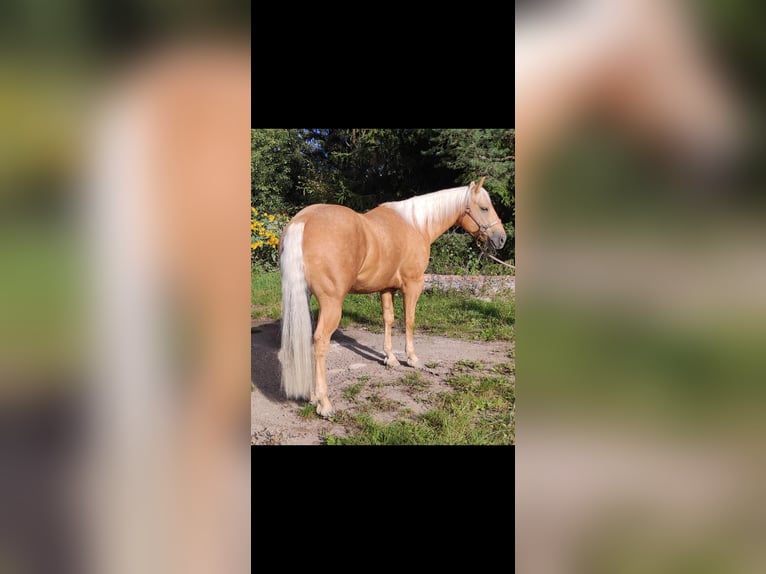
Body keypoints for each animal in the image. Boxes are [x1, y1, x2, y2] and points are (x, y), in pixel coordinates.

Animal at [278, 177, 507, 417]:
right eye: (484, 208)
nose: (501, 238)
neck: (416, 224)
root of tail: (303, 221)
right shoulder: (413, 285)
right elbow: (409, 320)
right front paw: (412, 359)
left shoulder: (387, 288)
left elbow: (388, 319)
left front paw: (391, 358)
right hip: (332, 303)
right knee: (320, 341)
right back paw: (324, 403)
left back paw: (312, 395)